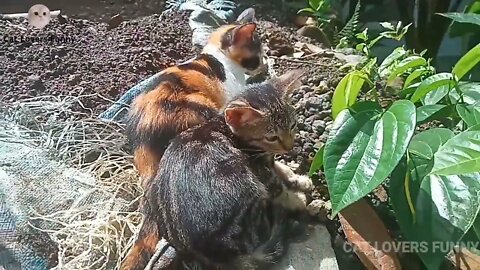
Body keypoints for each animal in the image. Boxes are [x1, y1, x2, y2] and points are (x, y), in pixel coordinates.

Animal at [120, 70, 312, 270]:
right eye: (272, 137)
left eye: (293, 125)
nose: (289, 147)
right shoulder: (259, 168)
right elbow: (279, 188)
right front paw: (298, 199)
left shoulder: (266, 161)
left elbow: (279, 169)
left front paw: (297, 179)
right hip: (247, 186)